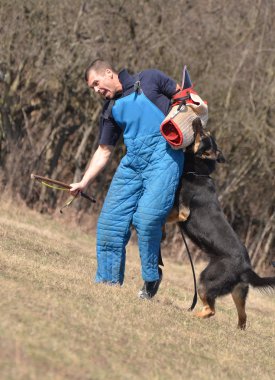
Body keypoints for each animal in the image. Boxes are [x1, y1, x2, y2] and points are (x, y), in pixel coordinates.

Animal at [166, 119, 275, 330]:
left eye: (203, 134)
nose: (197, 120)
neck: (198, 171)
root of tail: (246, 268)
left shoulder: (183, 211)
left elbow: (167, 216)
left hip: (206, 280)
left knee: (211, 310)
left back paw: (191, 314)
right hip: (238, 292)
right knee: (243, 317)